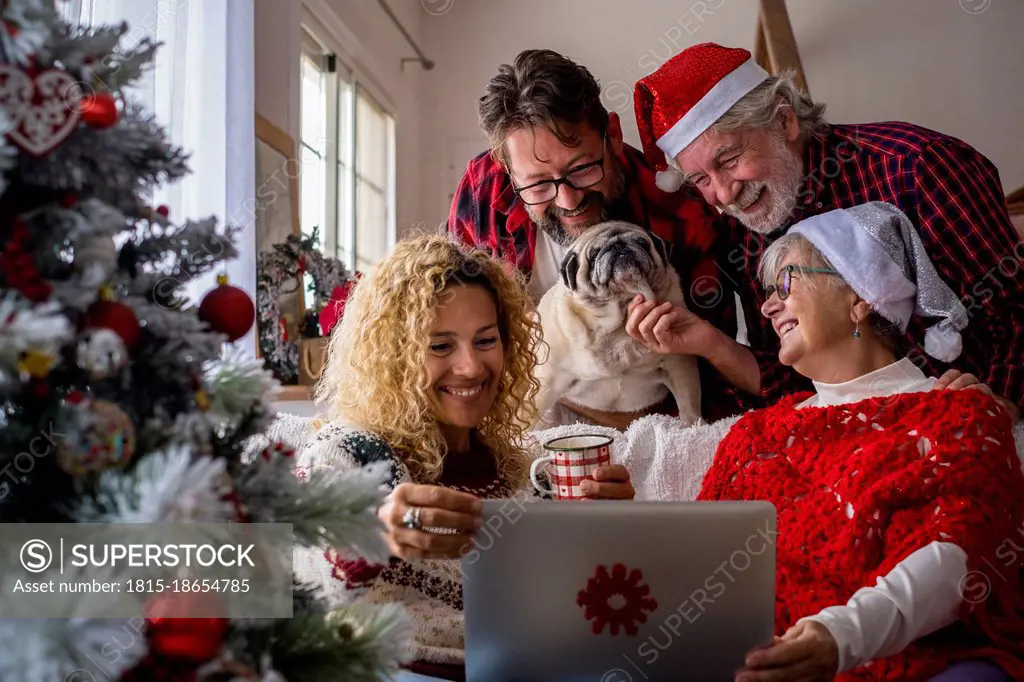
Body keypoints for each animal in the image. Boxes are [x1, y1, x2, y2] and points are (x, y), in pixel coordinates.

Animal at [536, 220, 704, 428]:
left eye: (642, 243)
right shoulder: (547, 381)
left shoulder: (679, 363)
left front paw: (694, 426)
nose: (619, 247)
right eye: (594, 255)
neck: (619, 324)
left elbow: (689, 403)